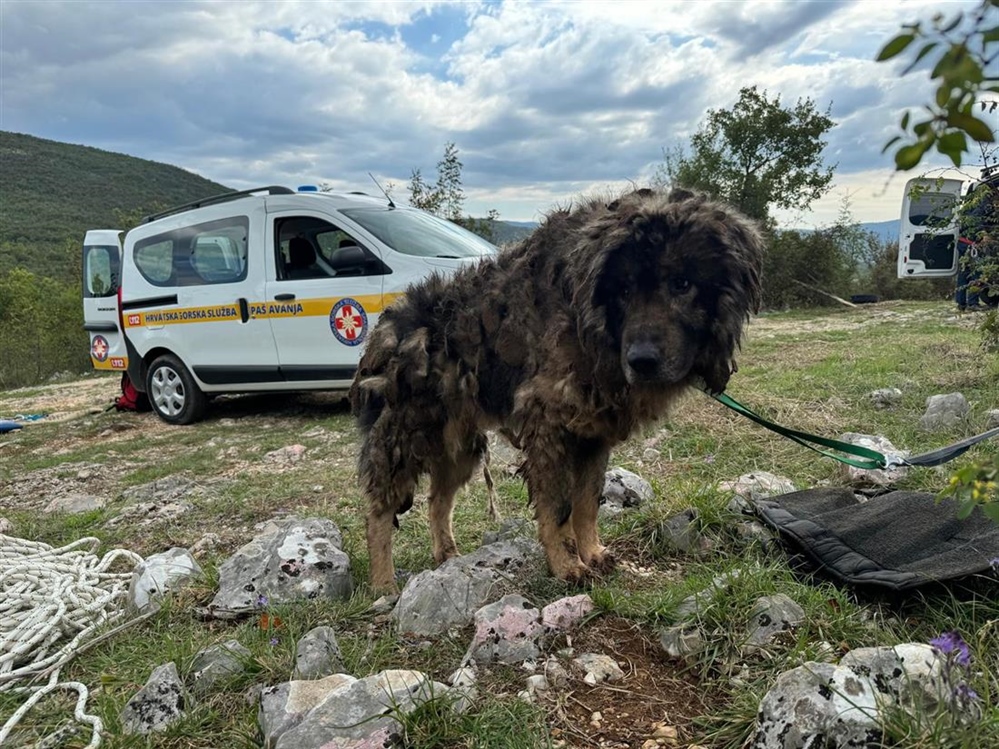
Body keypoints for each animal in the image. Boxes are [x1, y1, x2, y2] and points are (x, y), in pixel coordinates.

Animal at [352, 187, 764, 592]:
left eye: (682, 284)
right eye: (623, 290)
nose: (641, 360)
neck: (589, 325)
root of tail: (384, 330)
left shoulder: (594, 436)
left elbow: (587, 504)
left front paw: (592, 552)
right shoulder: (549, 427)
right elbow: (559, 507)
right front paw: (567, 566)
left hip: (458, 446)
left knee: (438, 499)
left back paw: (447, 556)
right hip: (406, 437)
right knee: (378, 510)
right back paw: (383, 585)